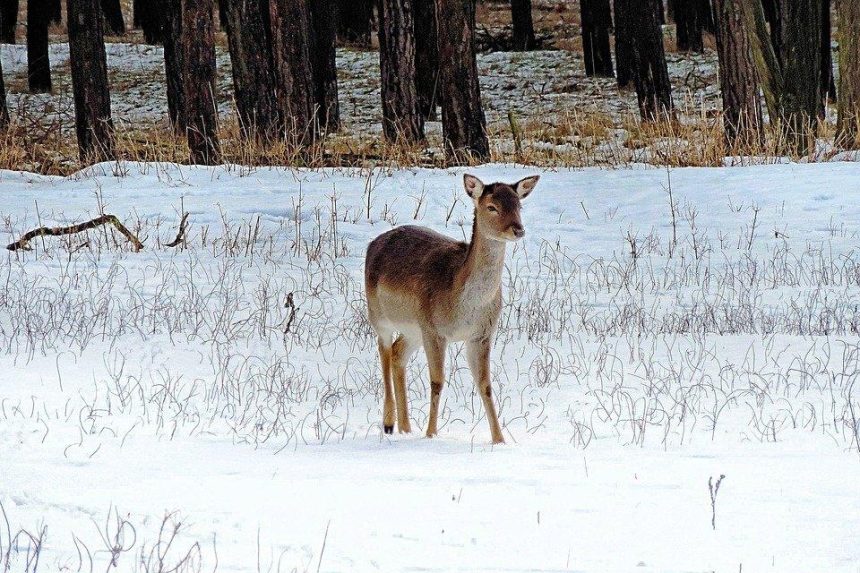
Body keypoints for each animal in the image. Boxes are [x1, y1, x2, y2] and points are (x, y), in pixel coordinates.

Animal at [362, 172, 536, 444]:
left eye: (519, 205)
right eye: (492, 207)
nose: (518, 229)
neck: (465, 306)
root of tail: (373, 243)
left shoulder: (482, 334)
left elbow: (485, 384)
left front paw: (499, 439)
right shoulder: (434, 330)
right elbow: (437, 381)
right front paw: (431, 433)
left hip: (414, 329)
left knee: (398, 353)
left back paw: (406, 427)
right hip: (378, 315)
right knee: (384, 352)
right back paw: (389, 424)